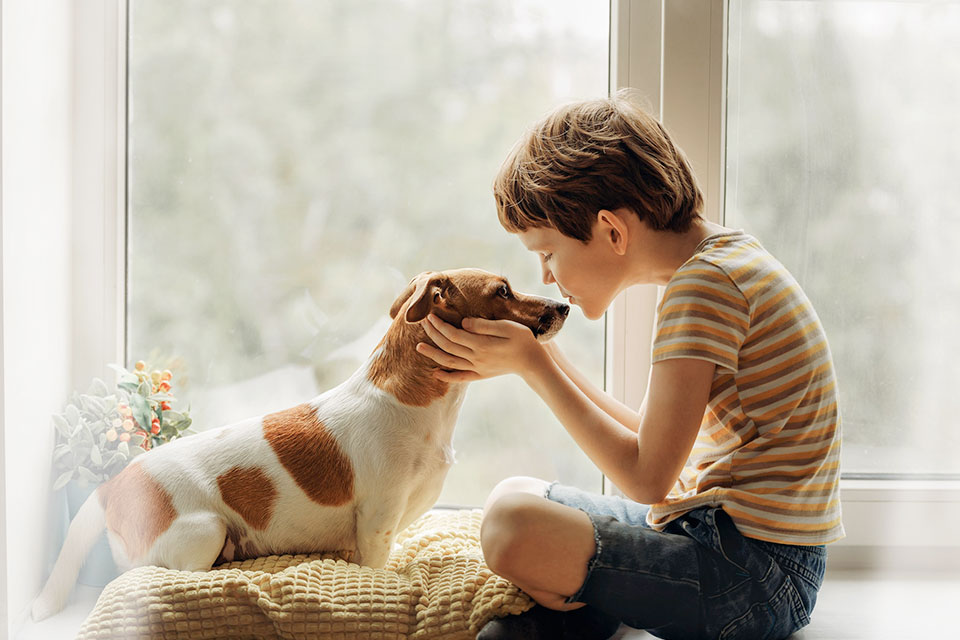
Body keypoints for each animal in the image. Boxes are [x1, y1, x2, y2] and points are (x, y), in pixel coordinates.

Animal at [33, 268, 568, 620]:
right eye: (503, 291)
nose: (564, 305)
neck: (417, 403)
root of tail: (113, 486)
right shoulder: (377, 523)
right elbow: (380, 563)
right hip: (205, 530)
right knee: (175, 574)